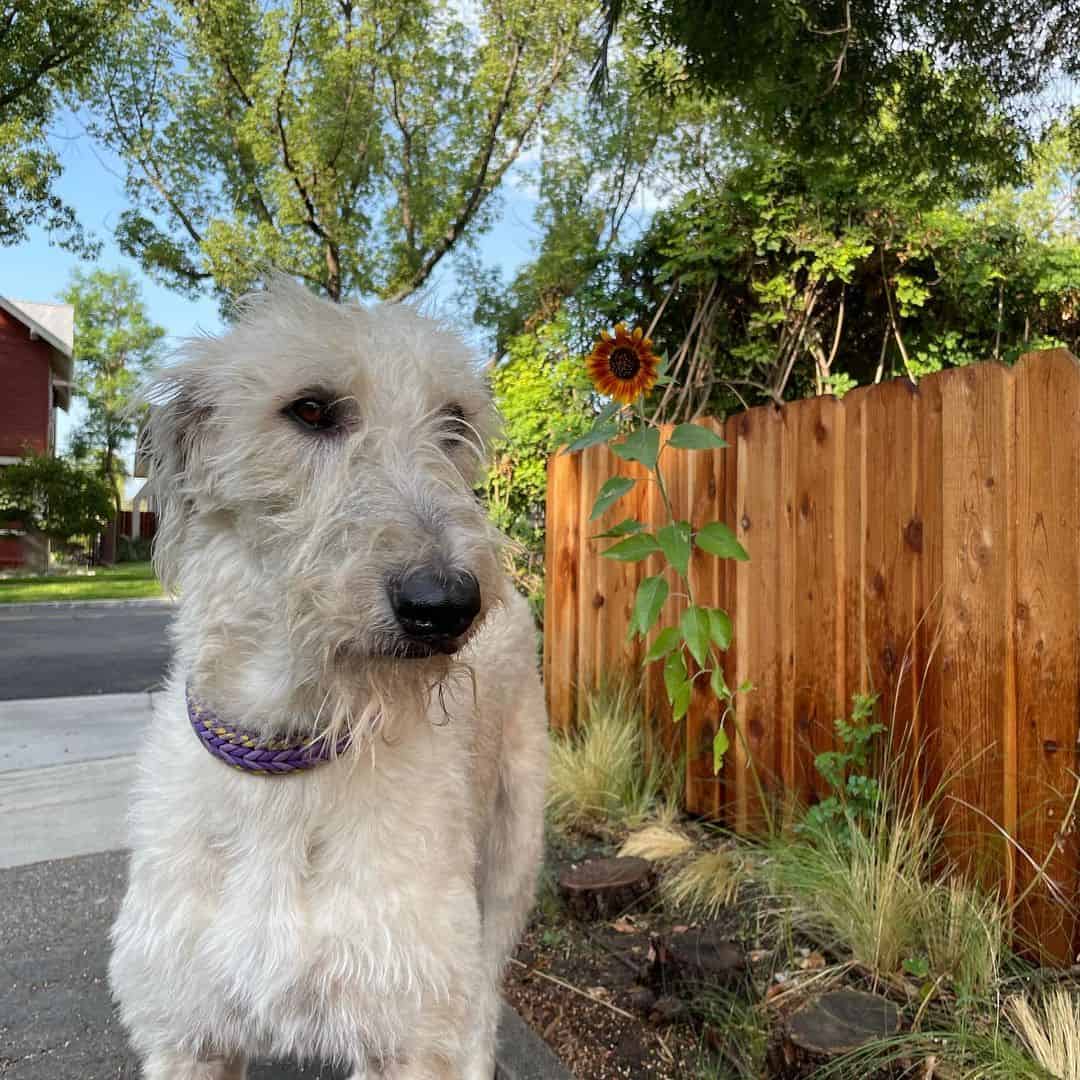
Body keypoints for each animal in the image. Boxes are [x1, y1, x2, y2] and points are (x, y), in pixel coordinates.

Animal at [108, 282, 548, 1080]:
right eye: (310, 410)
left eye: (454, 422)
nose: (447, 606)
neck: (290, 755)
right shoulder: (185, 1035)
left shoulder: (407, 1029)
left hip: (509, 860)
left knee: (481, 1006)